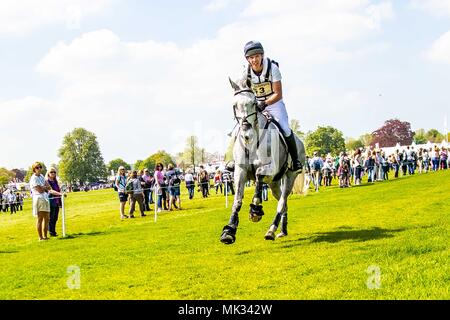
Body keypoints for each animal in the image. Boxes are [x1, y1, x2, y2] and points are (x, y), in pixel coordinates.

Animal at [221, 80, 308, 245]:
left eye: (254, 103)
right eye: (235, 105)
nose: (246, 133)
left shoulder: (270, 168)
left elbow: (259, 174)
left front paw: (255, 209)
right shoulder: (240, 170)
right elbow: (237, 201)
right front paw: (229, 231)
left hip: (290, 177)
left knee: (282, 203)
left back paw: (271, 231)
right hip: (274, 184)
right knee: (284, 204)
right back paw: (282, 231)